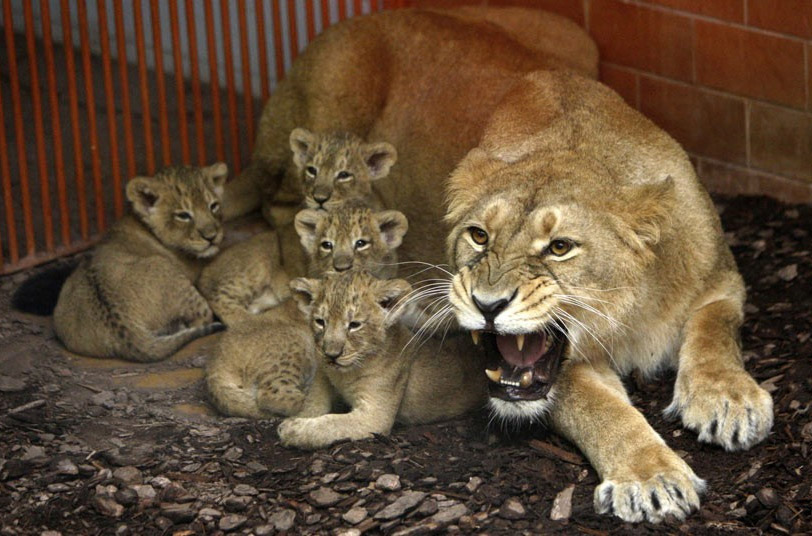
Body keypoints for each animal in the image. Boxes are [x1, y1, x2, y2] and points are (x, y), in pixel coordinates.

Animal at [225, 6, 772, 520]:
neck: (629, 314)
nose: (487, 305)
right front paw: (650, 477)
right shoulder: (560, 375)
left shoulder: (722, 281)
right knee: (286, 205)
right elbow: (602, 411)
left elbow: (715, 329)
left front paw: (729, 400)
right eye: (479, 235)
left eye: (560, 247)